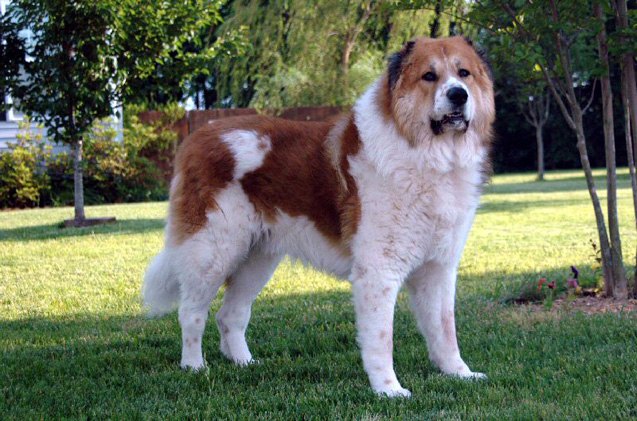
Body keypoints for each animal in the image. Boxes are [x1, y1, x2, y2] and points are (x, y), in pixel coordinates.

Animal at [143, 36, 492, 398]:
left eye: (463, 74)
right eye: (429, 76)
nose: (459, 95)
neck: (428, 157)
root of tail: (196, 137)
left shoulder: (438, 269)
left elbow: (445, 330)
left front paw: (458, 373)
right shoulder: (378, 272)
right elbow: (382, 339)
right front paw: (388, 390)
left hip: (257, 260)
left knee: (231, 314)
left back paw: (245, 363)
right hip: (212, 252)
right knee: (191, 312)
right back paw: (194, 367)